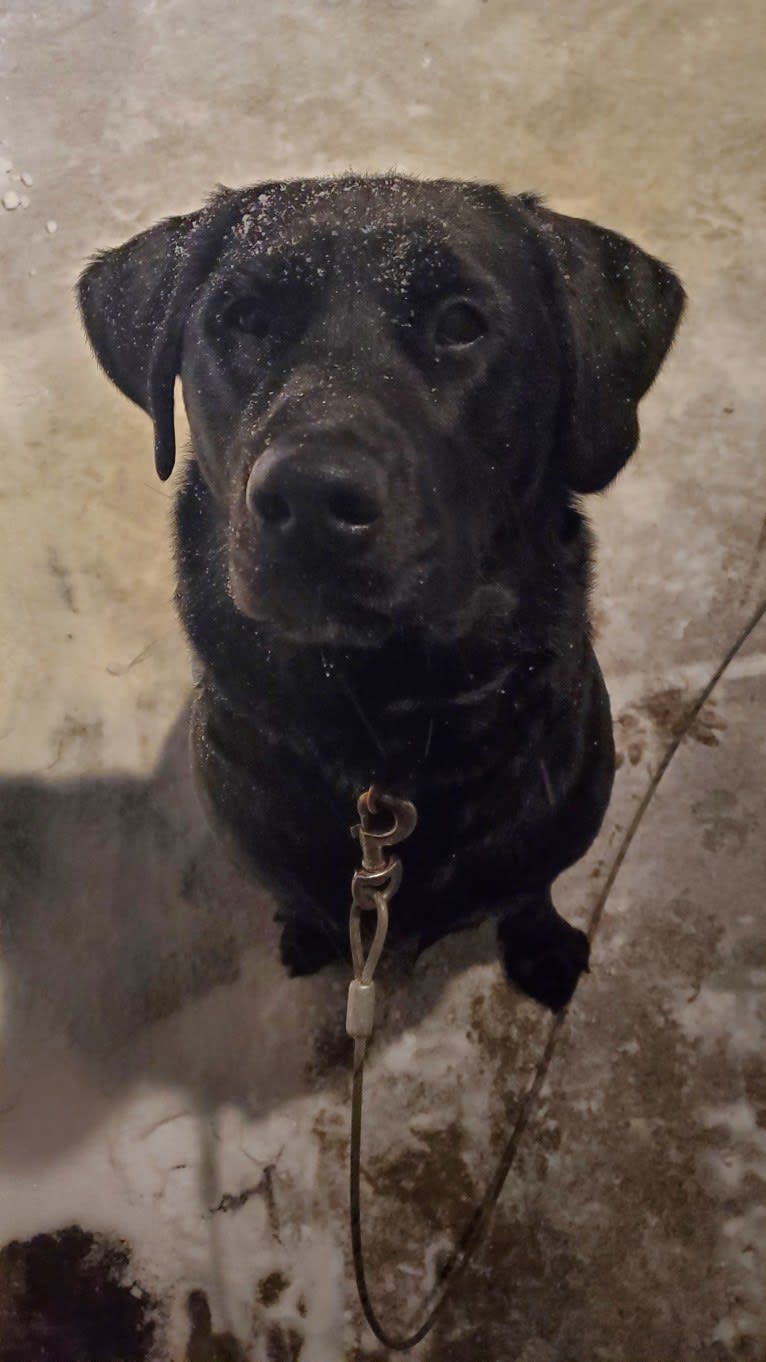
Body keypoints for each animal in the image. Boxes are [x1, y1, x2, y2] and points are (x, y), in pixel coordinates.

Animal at [77, 178, 681, 1013]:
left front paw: (543, 946)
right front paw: (306, 933)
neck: (383, 737)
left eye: (460, 323)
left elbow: (530, 893)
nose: (309, 496)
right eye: (245, 319)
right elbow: (301, 899)